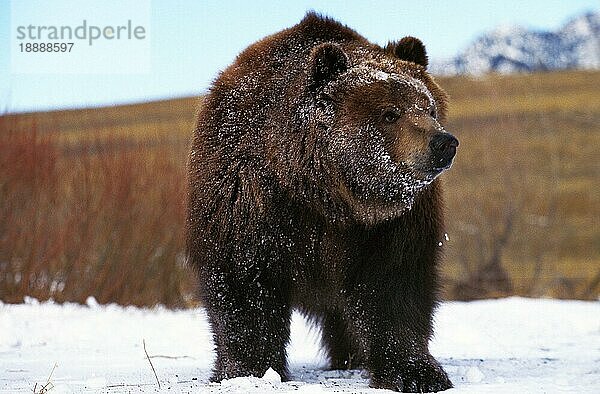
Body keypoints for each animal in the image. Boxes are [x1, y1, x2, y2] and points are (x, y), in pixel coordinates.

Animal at [188, 11, 460, 390]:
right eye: (390, 113)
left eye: (429, 108)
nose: (443, 143)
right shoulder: (249, 197)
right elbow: (245, 282)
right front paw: (248, 370)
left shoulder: (391, 224)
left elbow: (393, 284)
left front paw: (416, 373)